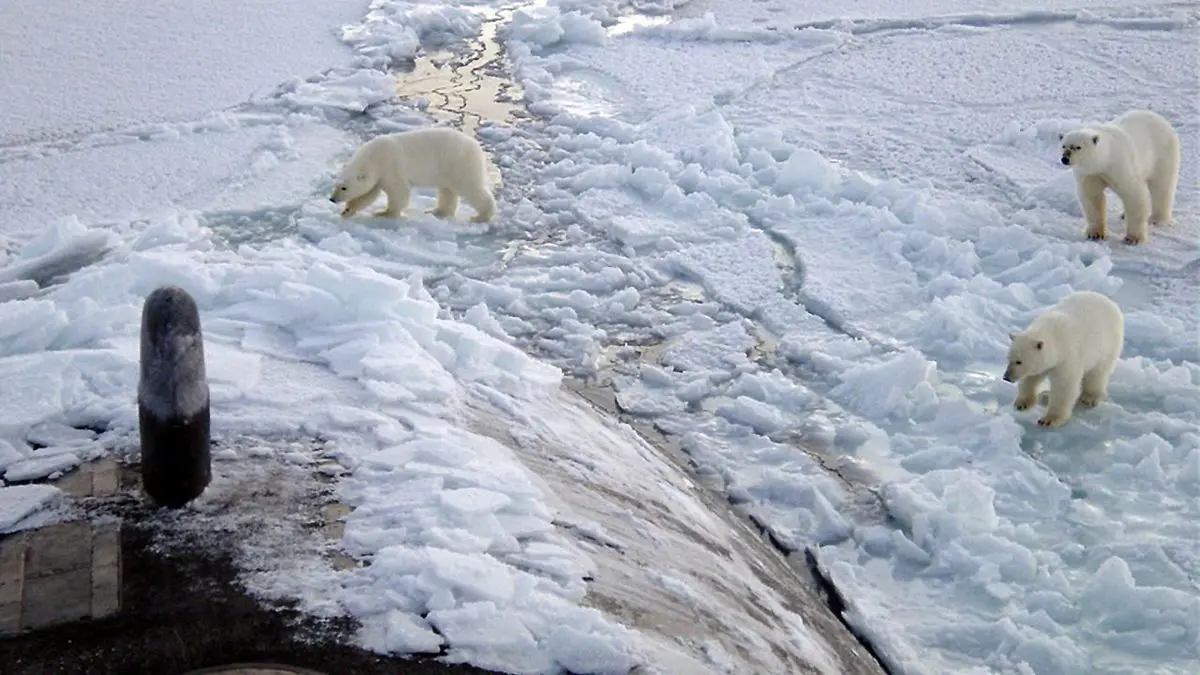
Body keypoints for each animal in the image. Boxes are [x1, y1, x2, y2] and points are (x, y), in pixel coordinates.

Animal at [326, 124, 494, 222]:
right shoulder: (378, 175)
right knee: (448, 190)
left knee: (470, 187)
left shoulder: (390, 166)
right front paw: (347, 210)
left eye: (344, 188)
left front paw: (384, 213)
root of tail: (477, 147)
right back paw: (438, 212)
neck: (374, 156)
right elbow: (369, 194)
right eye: (336, 185)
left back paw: (481, 216)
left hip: (458, 163)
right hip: (447, 169)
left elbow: (399, 192)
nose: (332, 199)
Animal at [1003, 289, 1123, 425]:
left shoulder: (1067, 357)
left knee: (1098, 373)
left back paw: (1089, 397)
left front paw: (1048, 420)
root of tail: (1108, 301)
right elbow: (1031, 378)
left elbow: (1064, 385)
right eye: (1009, 359)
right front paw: (1022, 404)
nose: (1006, 377)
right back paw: (1046, 395)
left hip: (1107, 346)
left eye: (1019, 361)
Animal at [1060, 109, 1180, 246]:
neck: (1107, 157)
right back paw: (1124, 215)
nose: (1065, 159)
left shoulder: (1120, 166)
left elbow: (1134, 195)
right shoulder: (1091, 174)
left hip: (1163, 154)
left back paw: (1157, 219)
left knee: (1162, 186)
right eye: (1063, 146)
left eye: (1078, 147)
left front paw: (1133, 238)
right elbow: (1092, 198)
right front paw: (1095, 234)